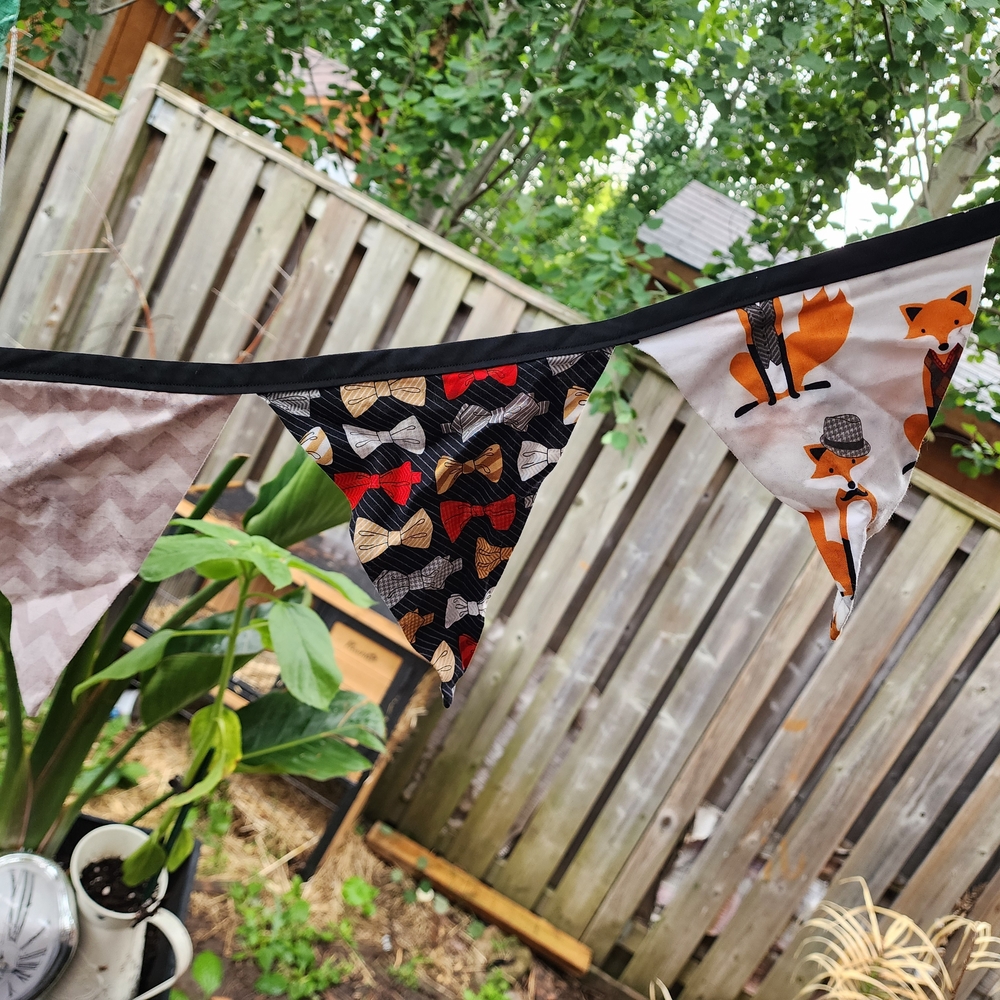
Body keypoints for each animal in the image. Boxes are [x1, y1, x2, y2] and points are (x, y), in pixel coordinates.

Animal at [730, 287, 854, 418]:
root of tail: (782, 394)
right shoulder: (749, 338)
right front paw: (772, 401)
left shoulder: (778, 327)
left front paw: (793, 394)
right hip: (737, 360)